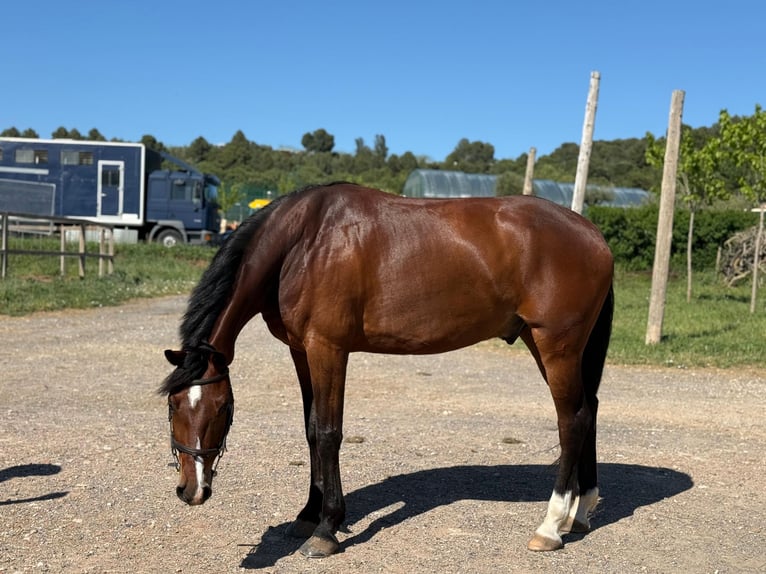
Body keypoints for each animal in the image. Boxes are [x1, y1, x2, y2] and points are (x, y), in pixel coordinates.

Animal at [159, 182, 614, 557]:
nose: (190, 490)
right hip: (549, 345)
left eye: (222, 408)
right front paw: (308, 515)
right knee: (588, 410)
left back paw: (550, 526)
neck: (304, 241)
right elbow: (311, 431)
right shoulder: (301, 351)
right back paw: (581, 513)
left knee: (571, 420)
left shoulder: (328, 349)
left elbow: (329, 433)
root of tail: (593, 235)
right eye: (173, 406)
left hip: (556, 346)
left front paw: (326, 529)